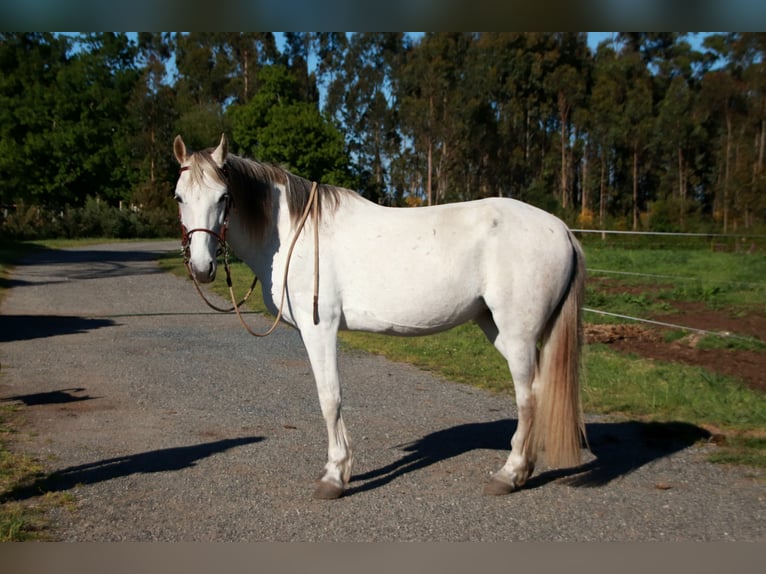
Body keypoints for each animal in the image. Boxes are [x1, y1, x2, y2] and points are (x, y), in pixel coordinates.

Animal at [173, 134, 587, 499]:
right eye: (179, 197)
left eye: (224, 196)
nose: (202, 267)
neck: (292, 233)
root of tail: (562, 229)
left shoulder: (319, 329)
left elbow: (329, 398)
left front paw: (334, 477)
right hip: (494, 326)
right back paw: (523, 470)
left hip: (518, 333)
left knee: (527, 396)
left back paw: (510, 474)